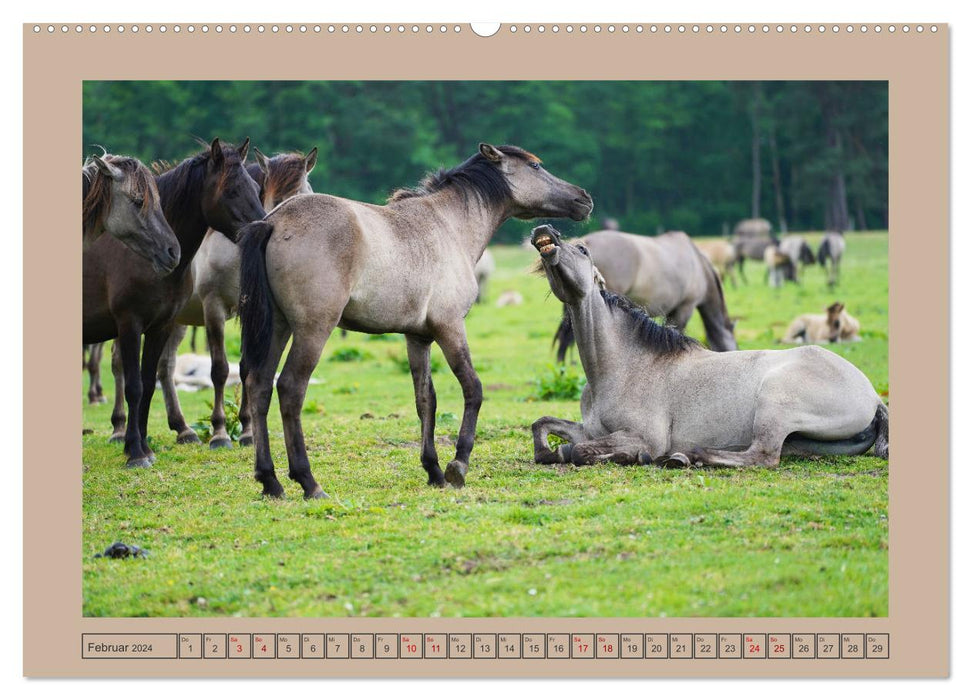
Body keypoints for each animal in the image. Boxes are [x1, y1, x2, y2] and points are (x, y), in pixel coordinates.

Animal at [239, 142, 596, 498]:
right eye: (536, 166)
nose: (584, 198)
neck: (450, 227)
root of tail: (274, 222)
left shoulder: (418, 337)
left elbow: (426, 400)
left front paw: (434, 470)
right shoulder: (450, 327)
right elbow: (473, 388)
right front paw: (458, 464)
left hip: (279, 328)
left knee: (259, 385)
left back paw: (270, 480)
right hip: (313, 330)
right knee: (290, 388)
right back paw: (308, 482)